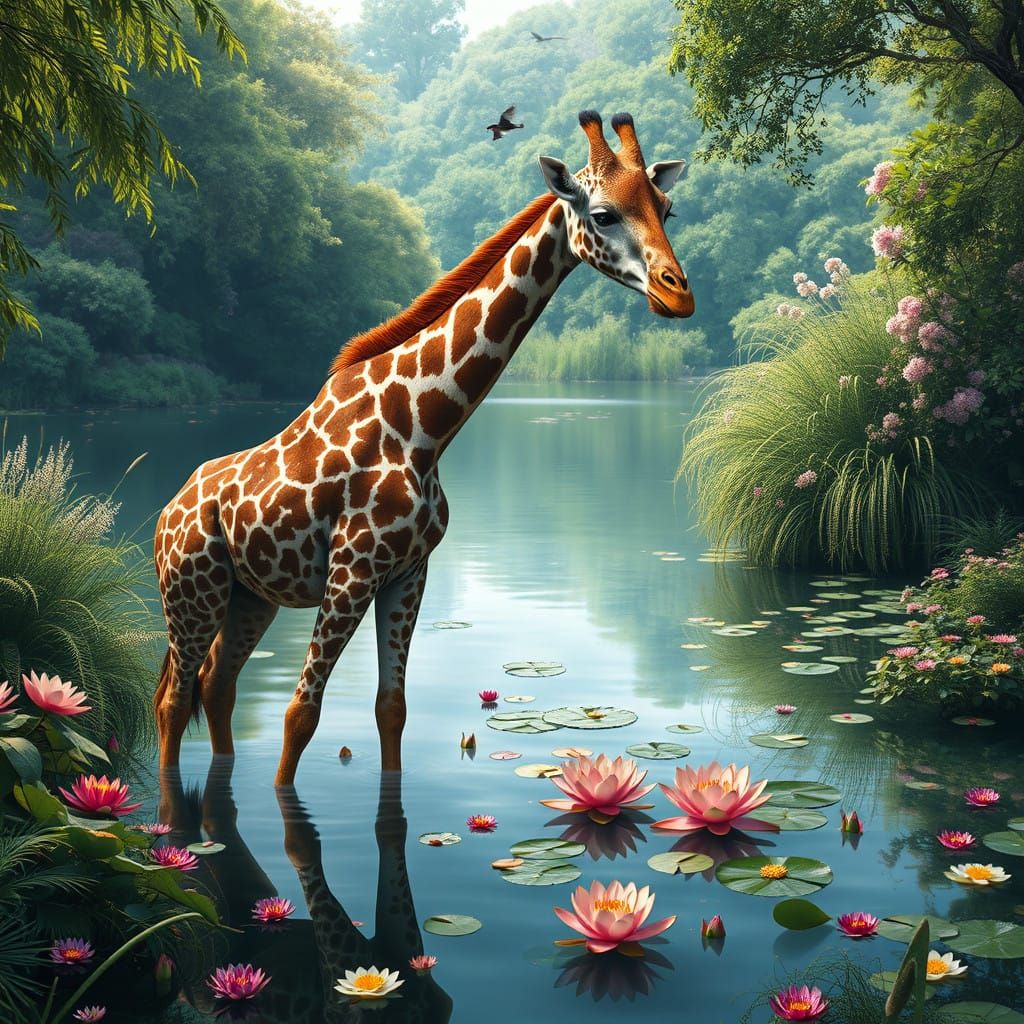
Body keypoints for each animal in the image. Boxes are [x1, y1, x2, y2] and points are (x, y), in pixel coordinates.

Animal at [154, 110, 694, 784]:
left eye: (667, 208)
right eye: (602, 214)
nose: (678, 295)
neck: (425, 429)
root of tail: (166, 513)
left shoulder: (409, 572)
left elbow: (392, 709)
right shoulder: (351, 573)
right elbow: (301, 712)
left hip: (249, 599)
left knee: (216, 685)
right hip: (191, 592)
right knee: (176, 700)